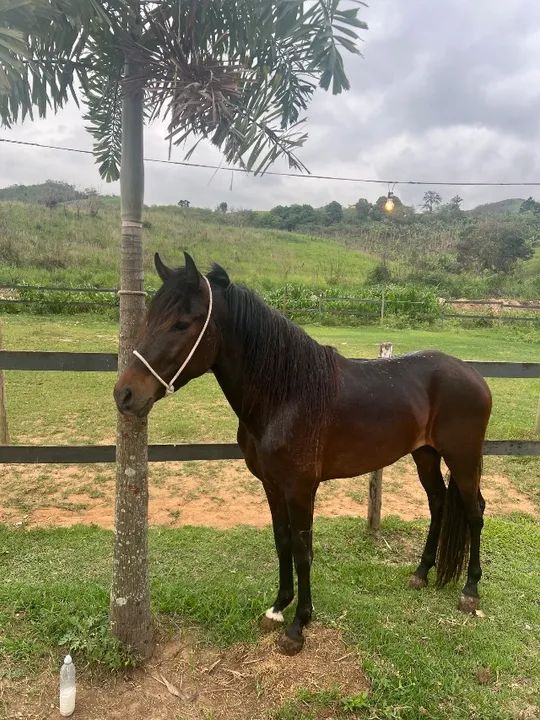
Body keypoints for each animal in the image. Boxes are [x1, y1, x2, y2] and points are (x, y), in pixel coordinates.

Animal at [114, 252, 492, 655]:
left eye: (182, 324)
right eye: (148, 318)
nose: (125, 394)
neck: (286, 396)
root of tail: (474, 375)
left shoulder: (300, 488)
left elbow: (302, 549)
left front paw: (298, 626)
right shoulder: (272, 484)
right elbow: (282, 542)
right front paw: (278, 608)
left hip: (463, 458)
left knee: (474, 511)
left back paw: (470, 590)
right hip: (425, 455)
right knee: (438, 503)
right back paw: (421, 573)